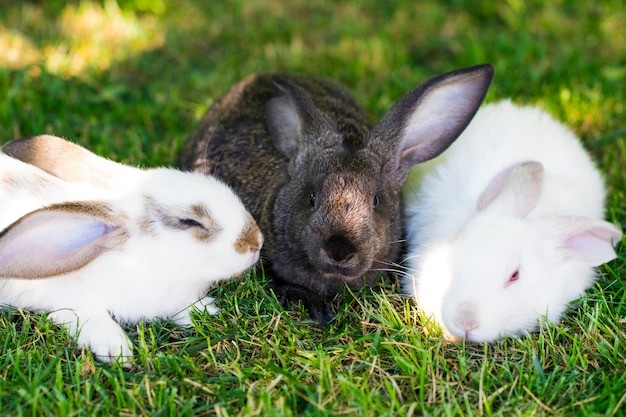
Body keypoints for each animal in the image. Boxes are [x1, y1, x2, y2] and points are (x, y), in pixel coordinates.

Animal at [0, 135, 264, 362]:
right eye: (191, 222)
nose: (257, 243)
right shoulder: (64, 298)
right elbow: (86, 315)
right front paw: (116, 350)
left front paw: (206, 310)